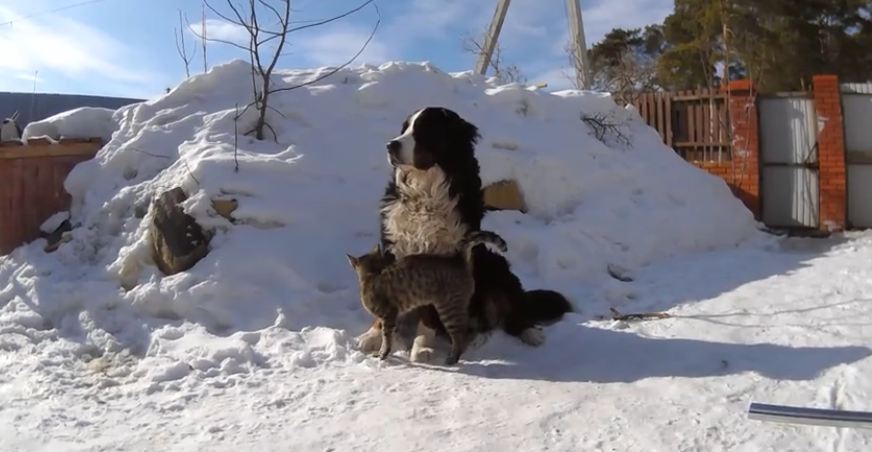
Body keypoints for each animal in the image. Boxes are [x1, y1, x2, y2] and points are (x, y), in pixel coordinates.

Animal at [354, 107, 572, 364]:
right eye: (404, 128)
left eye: (424, 129)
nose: (391, 145)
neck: (425, 194)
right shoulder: (392, 247)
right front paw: (371, 336)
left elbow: (429, 315)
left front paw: (422, 347)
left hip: (496, 267)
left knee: (512, 314)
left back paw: (528, 333)